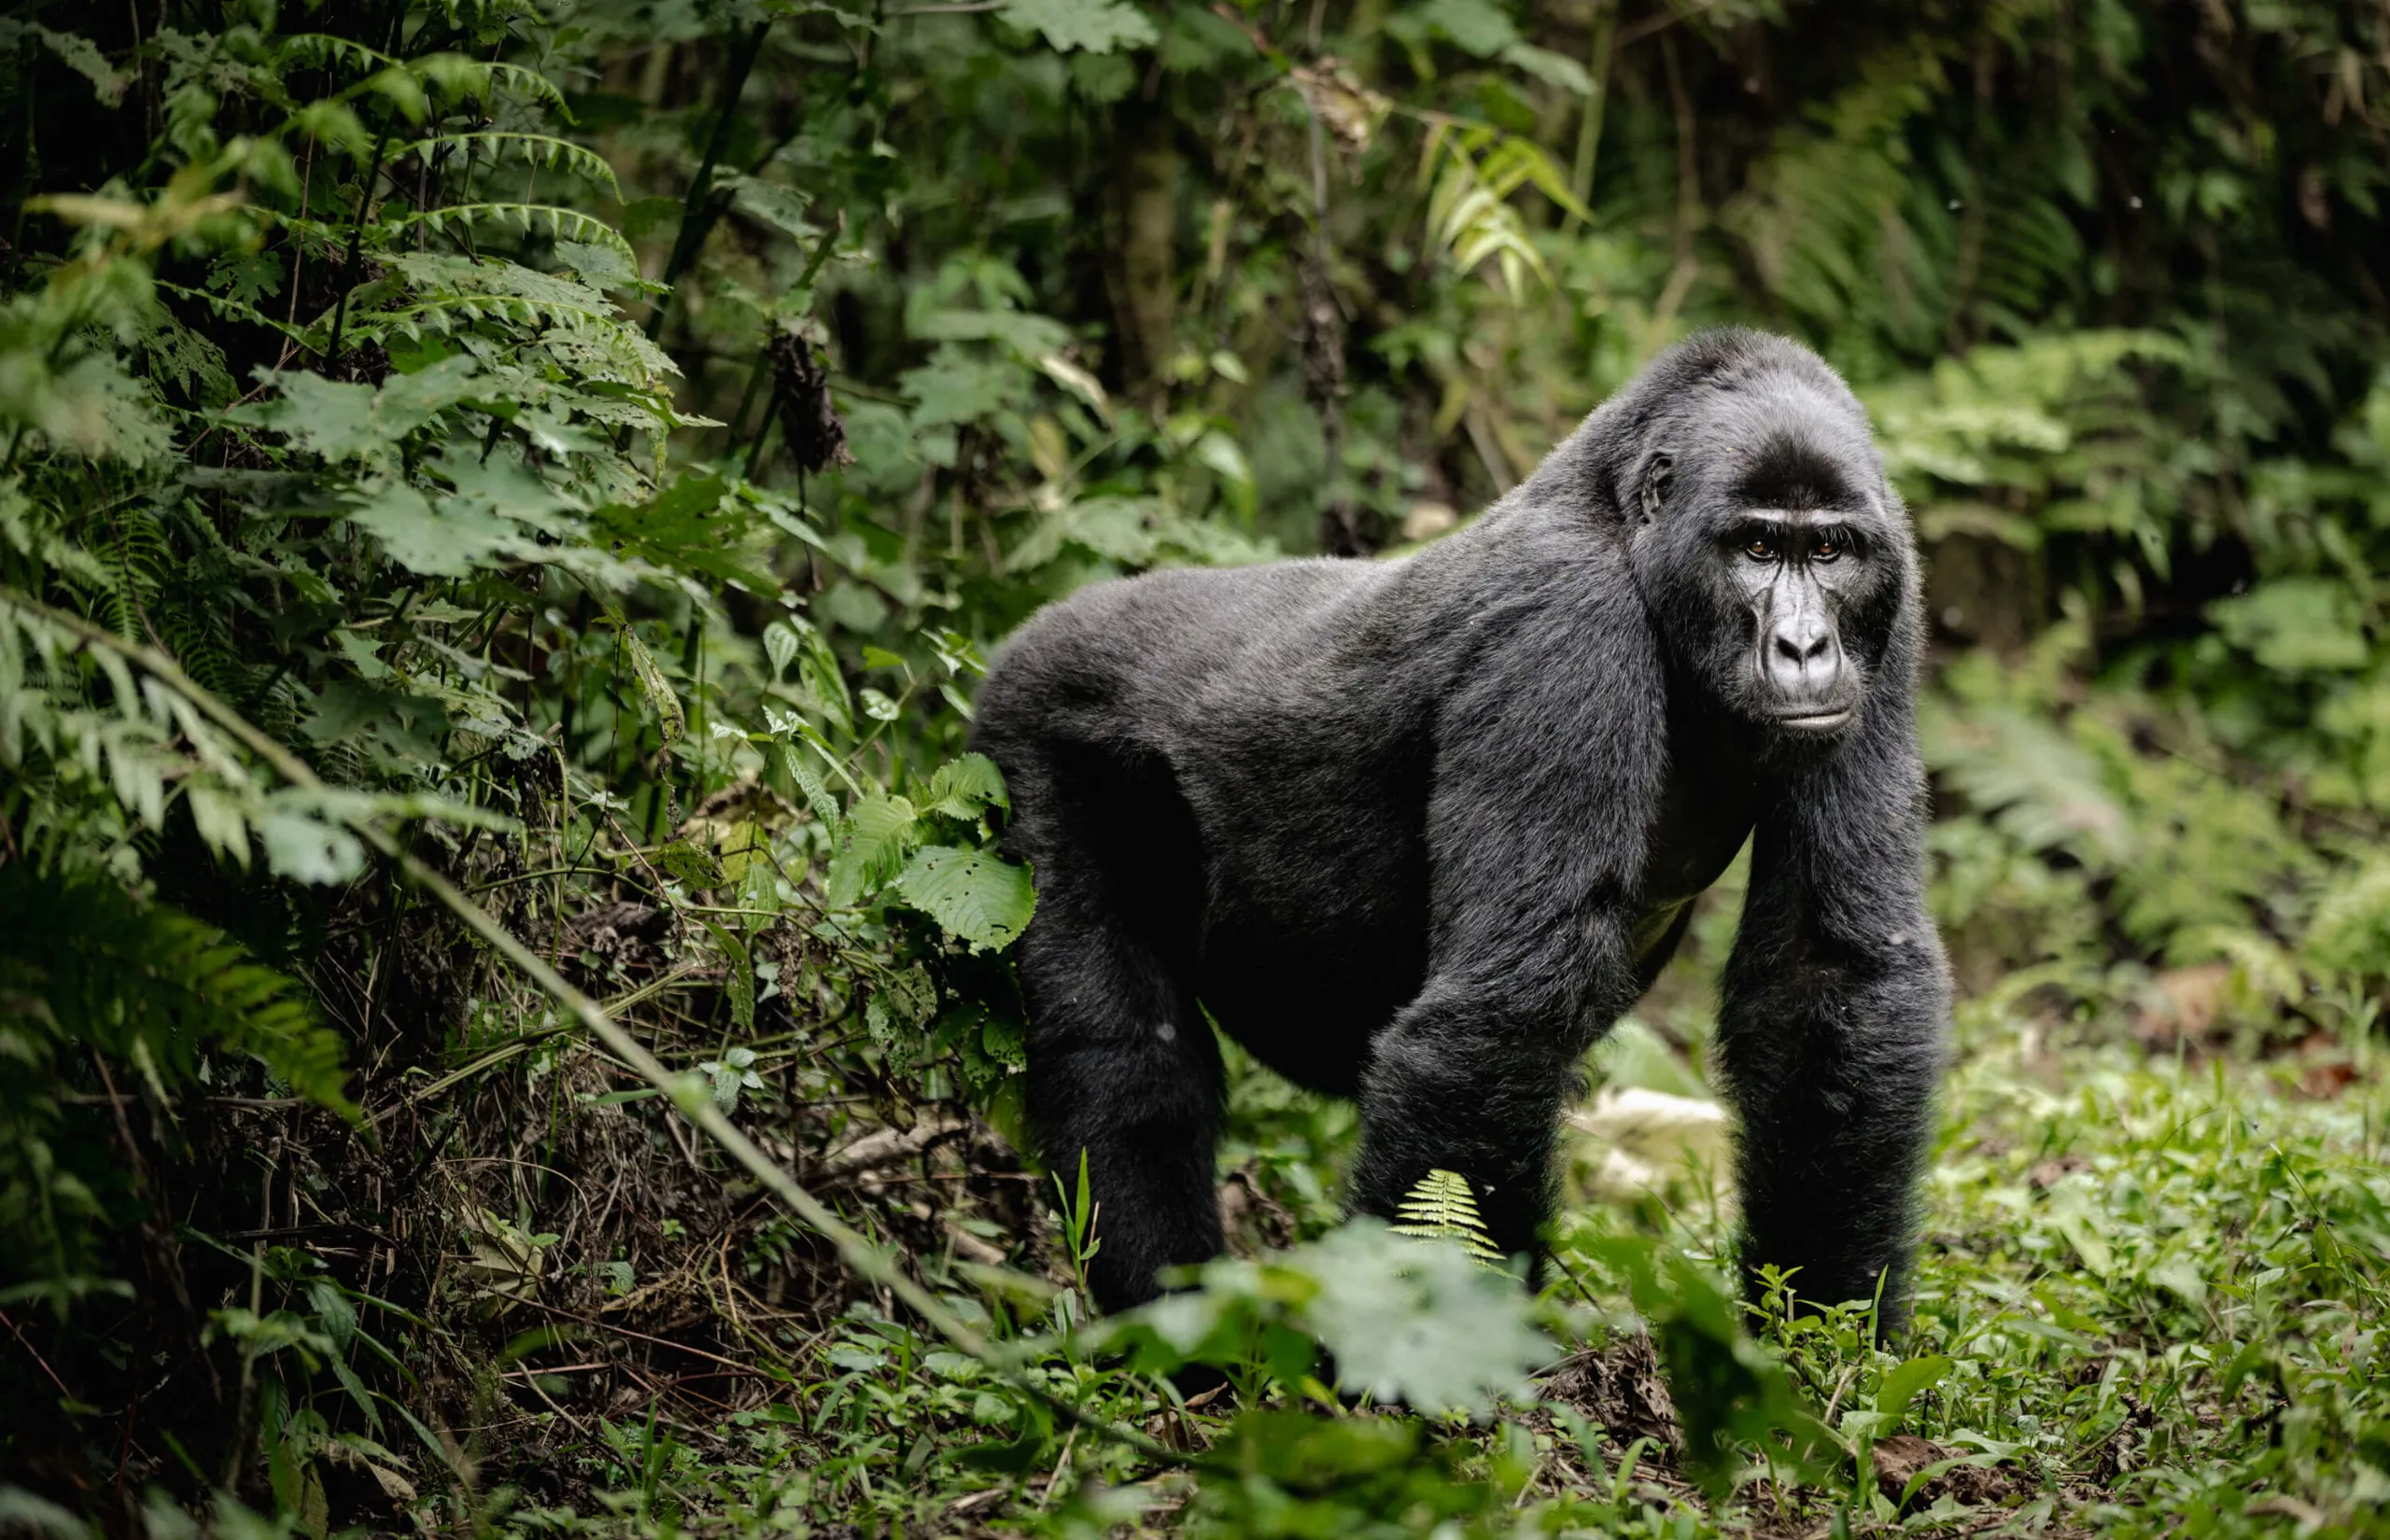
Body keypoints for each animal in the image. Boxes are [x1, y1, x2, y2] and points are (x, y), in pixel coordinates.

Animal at [975, 329, 1960, 1327]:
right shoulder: (1566, 629)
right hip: (1032, 725)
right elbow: (1504, 1015)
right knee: (1121, 1052)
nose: (1805, 646)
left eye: (1829, 550)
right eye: (1757, 545)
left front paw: (1824, 1332)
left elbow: (1827, 975)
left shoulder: (1890, 615)